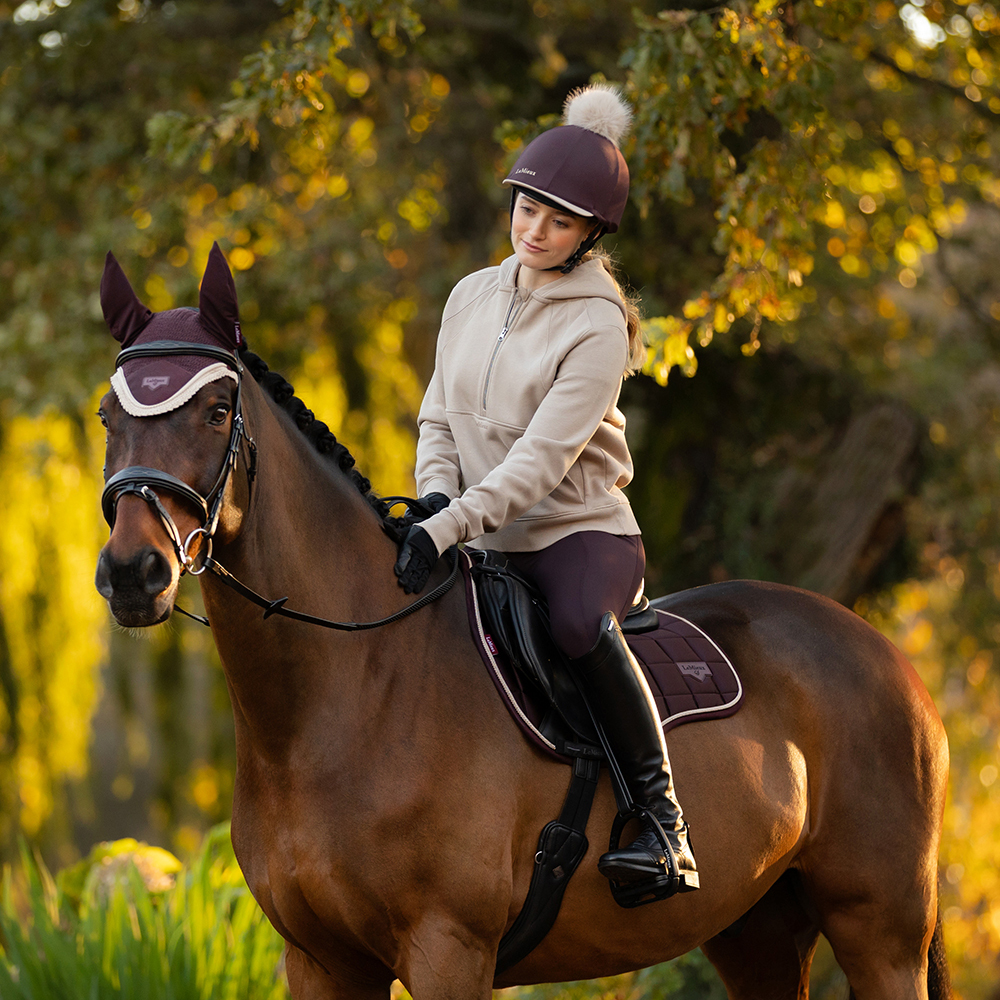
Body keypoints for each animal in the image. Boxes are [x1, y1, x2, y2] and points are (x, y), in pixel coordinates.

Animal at [95, 246, 950, 1000]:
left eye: (216, 410)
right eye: (108, 414)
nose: (134, 574)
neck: (343, 699)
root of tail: (885, 655)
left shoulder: (449, 948)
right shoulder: (322, 962)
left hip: (880, 931)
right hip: (758, 930)